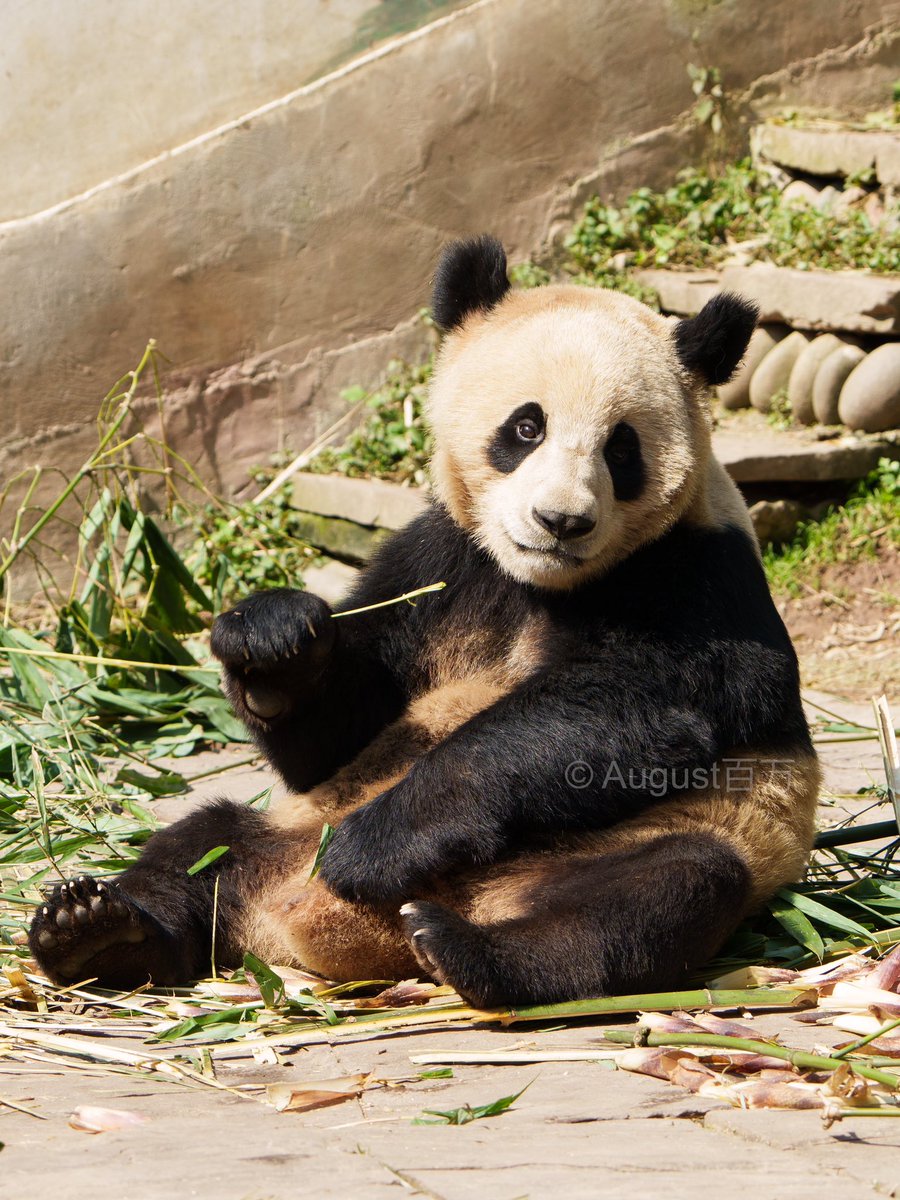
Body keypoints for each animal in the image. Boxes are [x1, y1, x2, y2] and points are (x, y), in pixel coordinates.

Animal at [29, 235, 820, 1009]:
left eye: (621, 448)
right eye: (526, 427)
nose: (561, 521)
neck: (539, 582)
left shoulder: (696, 574)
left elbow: (640, 706)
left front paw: (373, 849)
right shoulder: (439, 560)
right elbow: (344, 728)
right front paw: (273, 639)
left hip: (660, 837)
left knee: (653, 898)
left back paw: (469, 950)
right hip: (284, 829)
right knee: (198, 847)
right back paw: (98, 931)